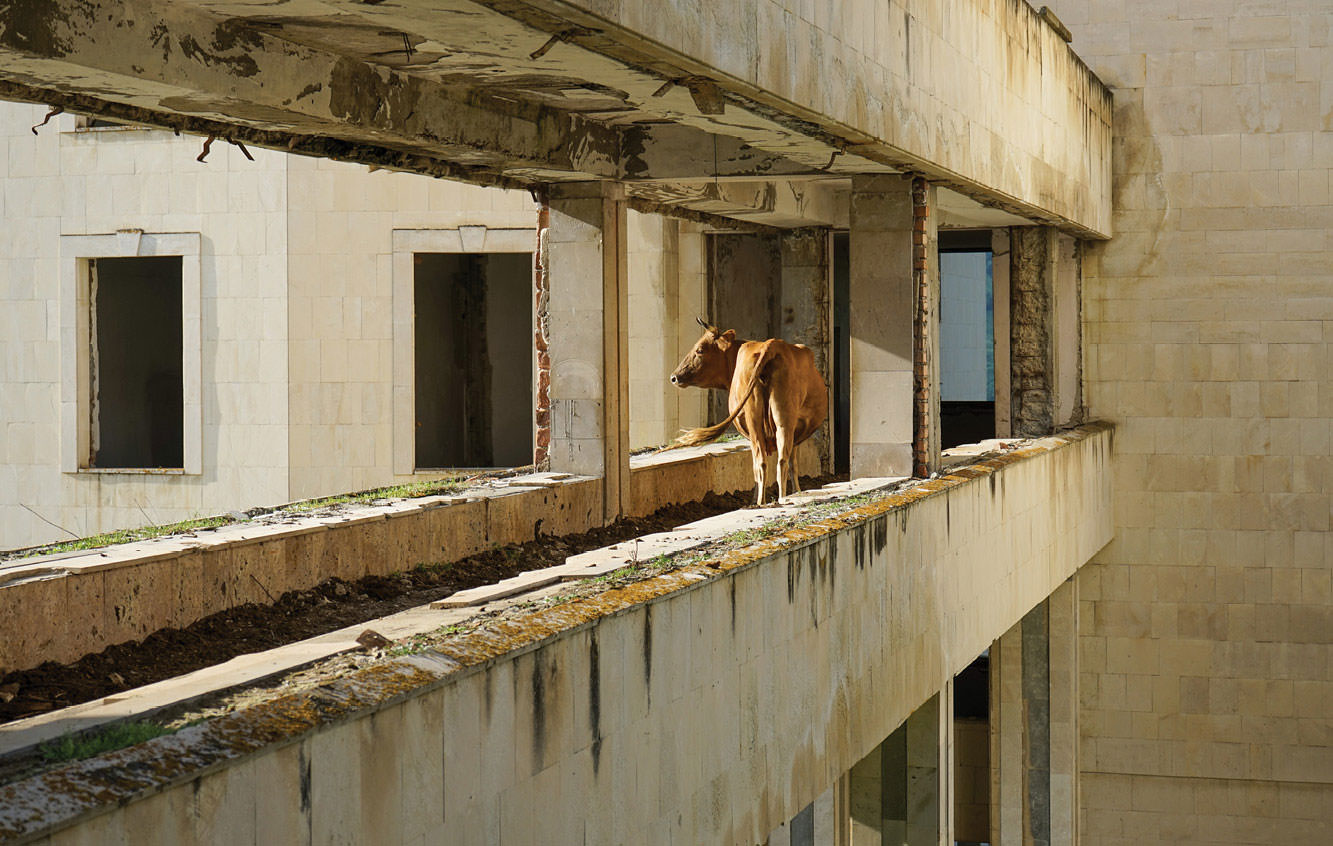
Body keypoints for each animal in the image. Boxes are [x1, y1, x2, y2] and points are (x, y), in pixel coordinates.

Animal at [669, 318, 828, 505]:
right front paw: (796, 492)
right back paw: (778, 499)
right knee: (778, 461)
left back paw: (762, 502)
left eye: (700, 349)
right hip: (782, 420)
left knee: (764, 463)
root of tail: (770, 345)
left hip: (761, 421)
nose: (674, 377)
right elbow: (792, 465)